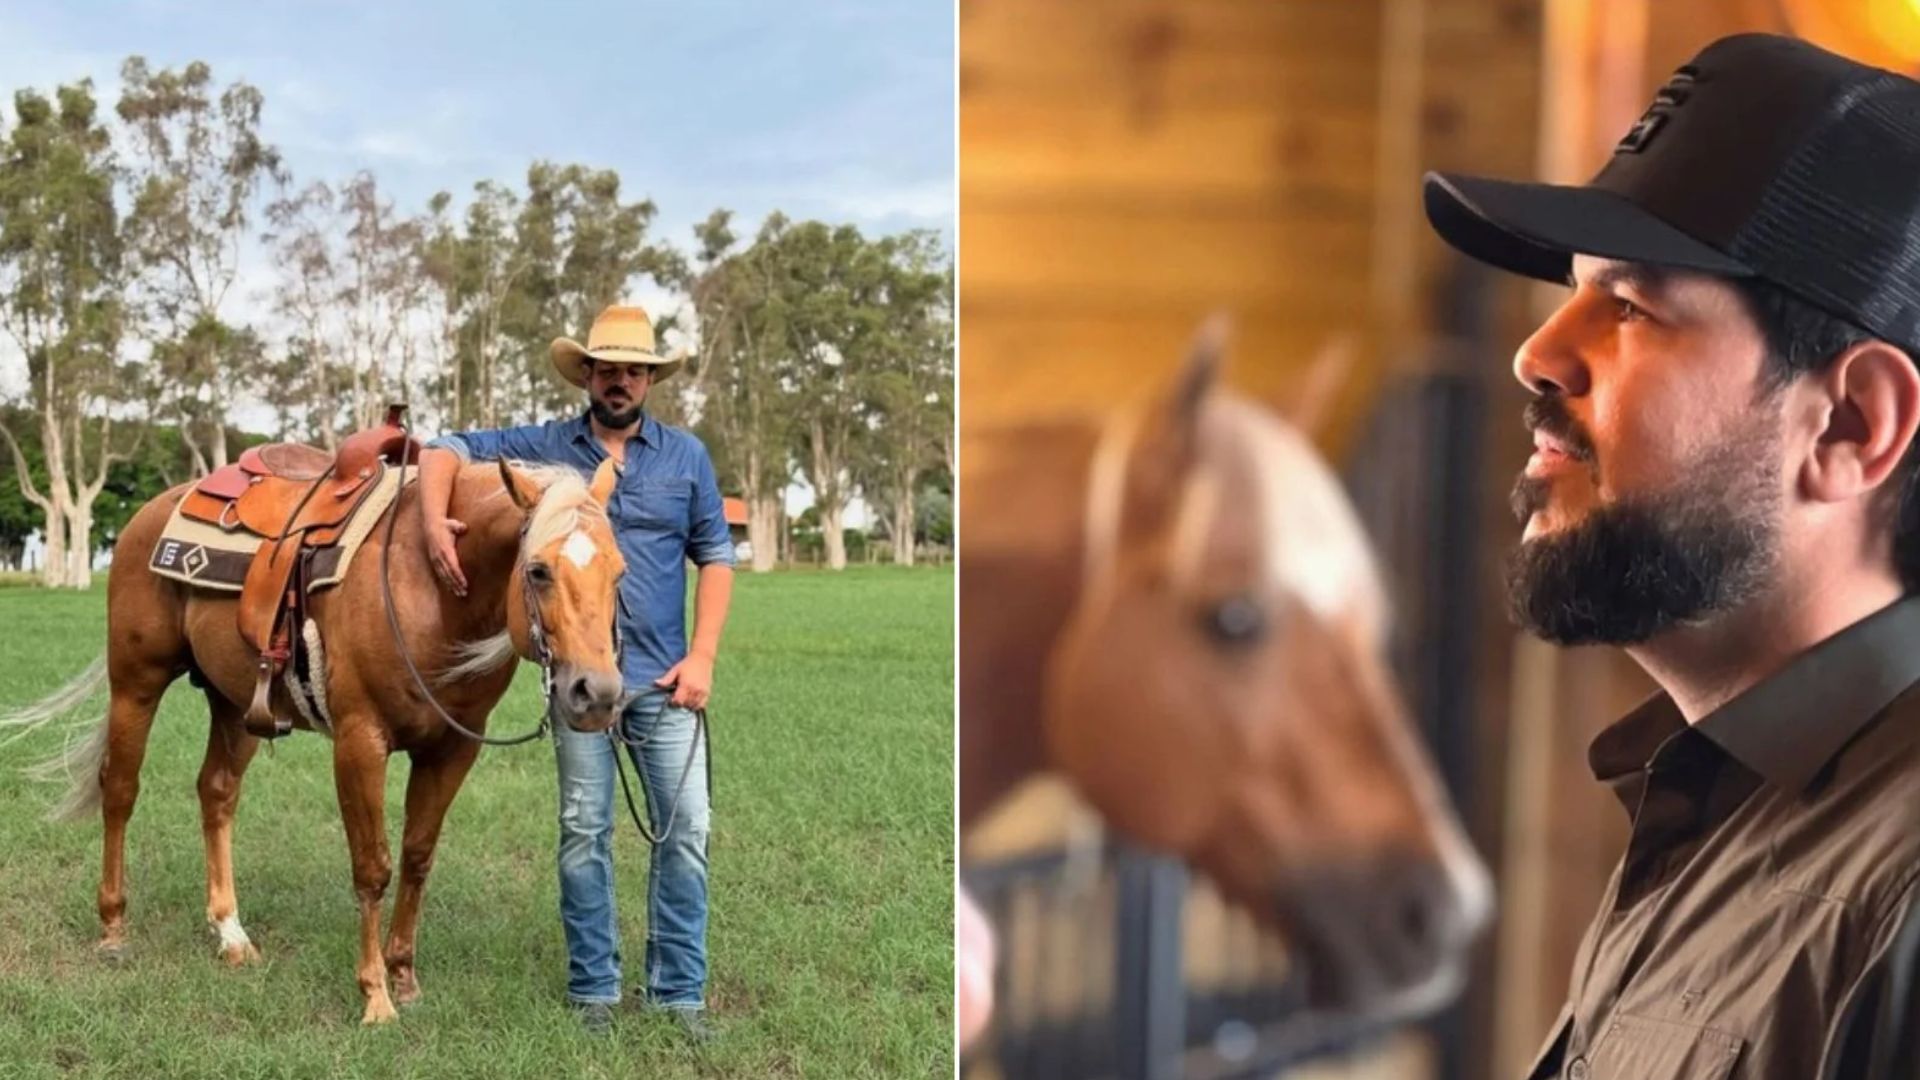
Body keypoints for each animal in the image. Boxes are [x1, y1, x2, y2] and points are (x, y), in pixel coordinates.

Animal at [0, 455, 627, 1025]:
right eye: (539, 570)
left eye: (619, 572)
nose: (596, 693)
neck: (433, 585)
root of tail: (152, 512)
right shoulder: (359, 741)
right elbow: (372, 867)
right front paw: (374, 996)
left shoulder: (453, 749)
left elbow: (418, 857)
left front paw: (404, 977)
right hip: (137, 681)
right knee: (120, 790)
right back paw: (113, 927)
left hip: (234, 703)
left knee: (216, 793)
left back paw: (231, 933)